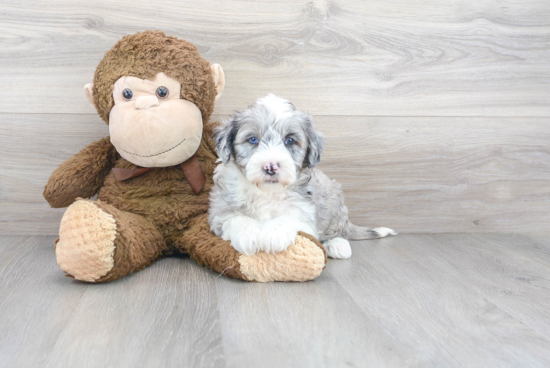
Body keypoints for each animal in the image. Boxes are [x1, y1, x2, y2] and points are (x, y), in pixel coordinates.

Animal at [208, 94, 396, 258]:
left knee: (338, 230)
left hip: (334, 201)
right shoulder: (218, 212)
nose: (271, 167)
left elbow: (291, 217)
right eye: (253, 139)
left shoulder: (308, 214)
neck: (268, 192)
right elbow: (234, 217)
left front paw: (273, 234)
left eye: (290, 140)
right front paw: (249, 234)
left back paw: (337, 245)